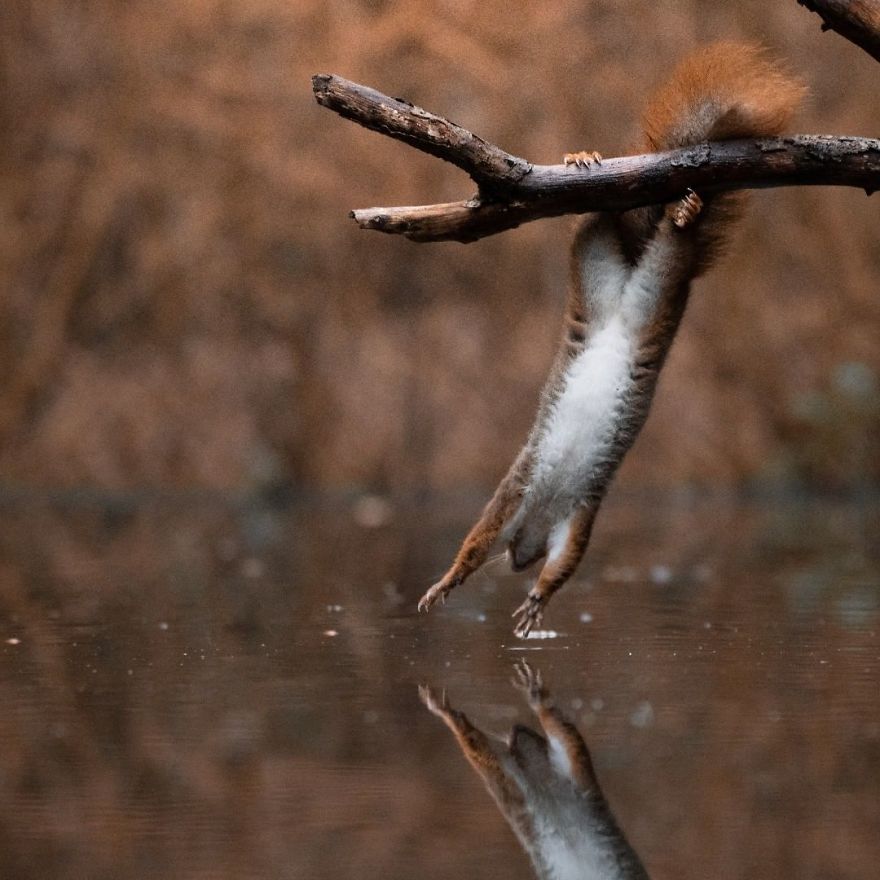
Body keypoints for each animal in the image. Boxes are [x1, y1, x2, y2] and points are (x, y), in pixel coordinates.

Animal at [419, 43, 805, 637]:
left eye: (526, 558)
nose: (519, 560)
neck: (543, 512)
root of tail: (624, 305)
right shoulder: (514, 497)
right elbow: (475, 546)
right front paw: (450, 583)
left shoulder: (579, 517)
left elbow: (559, 562)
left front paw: (536, 597)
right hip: (599, 270)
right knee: (598, 221)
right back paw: (595, 166)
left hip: (660, 282)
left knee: (654, 233)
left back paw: (676, 205)